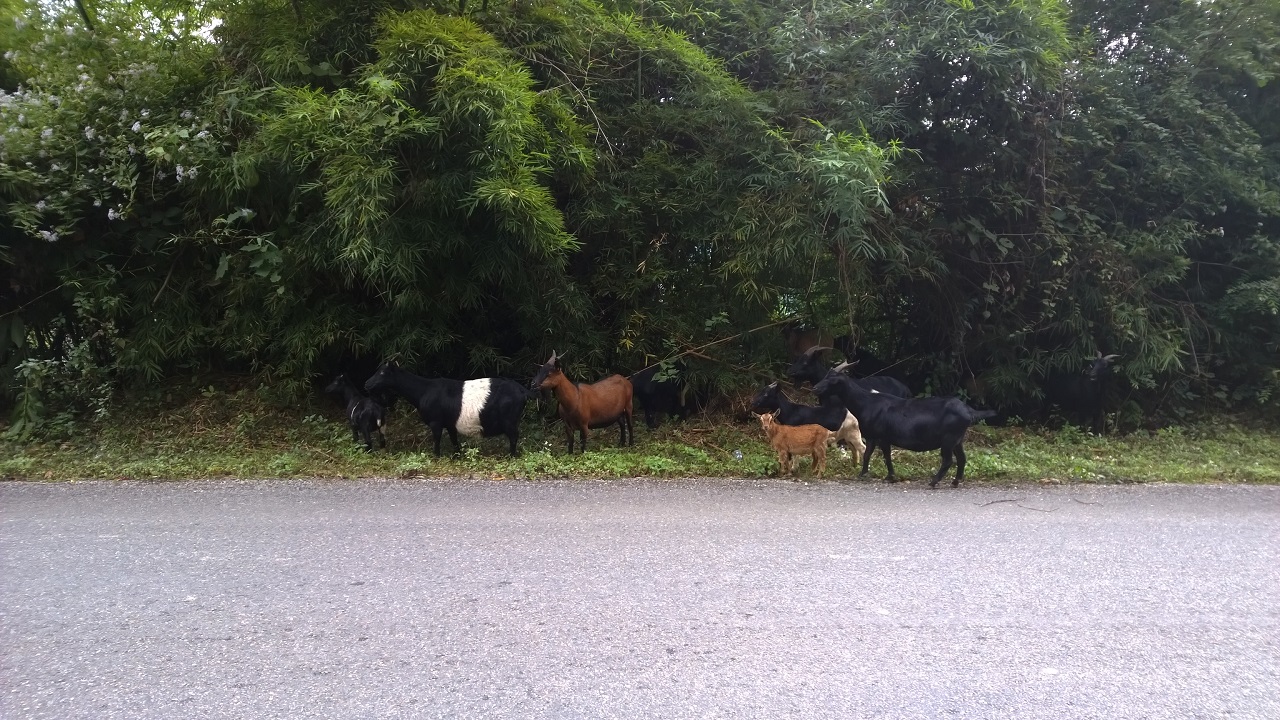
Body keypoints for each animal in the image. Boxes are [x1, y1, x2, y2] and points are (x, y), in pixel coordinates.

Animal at [366, 358, 529, 453]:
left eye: (382, 373)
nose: (366, 384)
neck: (424, 390)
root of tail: (522, 390)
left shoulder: (436, 422)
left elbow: (437, 440)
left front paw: (436, 457)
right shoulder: (450, 423)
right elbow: (454, 440)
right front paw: (457, 456)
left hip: (509, 420)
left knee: (514, 436)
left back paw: (511, 456)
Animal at [808, 361, 998, 484]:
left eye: (834, 379)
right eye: (825, 375)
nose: (815, 388)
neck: (867, 403)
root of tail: (968, 411)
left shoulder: (880, 436)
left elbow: (878, 455)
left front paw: (878, 475)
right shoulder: (877, 437)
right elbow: (877, 454)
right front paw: (875, 475)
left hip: (949, 439)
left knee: (948, 460)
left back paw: (933, 482)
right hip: (958, 439)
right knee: (962, 458)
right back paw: (956, 481)